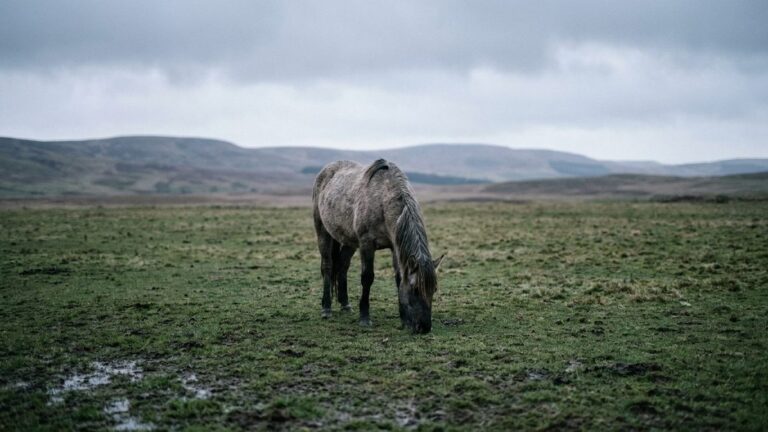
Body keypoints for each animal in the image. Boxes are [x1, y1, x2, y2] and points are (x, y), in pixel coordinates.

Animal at [313, 159, 444, 334]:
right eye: (415, 289)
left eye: (433, 289)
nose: (424, 328)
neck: (382, 200)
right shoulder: (366, 244)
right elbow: (367, 278)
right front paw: (364, 317)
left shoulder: (395, 247)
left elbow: (398, 279)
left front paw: (403, 320)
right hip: (323, 231)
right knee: (327, 266)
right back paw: (326, 308)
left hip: (349, 241)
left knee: (342, 266)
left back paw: (345, 304)